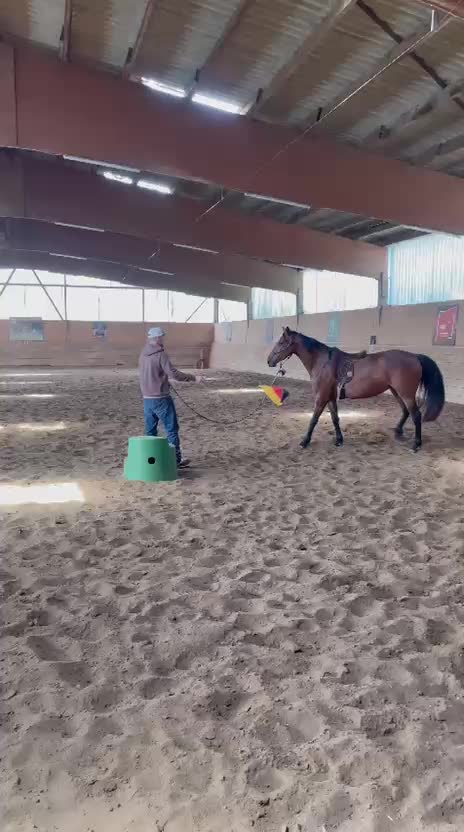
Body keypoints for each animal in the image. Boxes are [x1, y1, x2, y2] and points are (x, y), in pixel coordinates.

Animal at [267, 327, 445, 452]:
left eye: (281, 342)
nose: (269, 360)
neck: (323, 362)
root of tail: (415, 356)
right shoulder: (330, 397)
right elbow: (335, 418)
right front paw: (339, 440)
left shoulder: (321, 397)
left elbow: (313, 419)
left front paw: (305, 441)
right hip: (396, 392)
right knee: (406, 412)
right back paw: (398, 432)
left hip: (406, 394)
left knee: (416, 415)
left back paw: (416, 444)